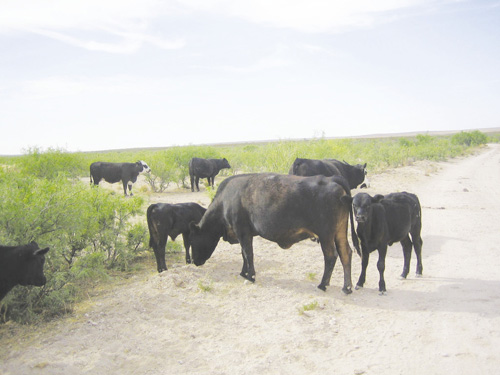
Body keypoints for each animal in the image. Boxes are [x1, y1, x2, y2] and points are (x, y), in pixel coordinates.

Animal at [188, 173, 356, 294]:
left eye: (194, 240)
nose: (195, 261)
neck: (225, 199)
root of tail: (331, 178)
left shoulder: (242, 231)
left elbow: (248, 254)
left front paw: (251, 276)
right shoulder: (243, 234)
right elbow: (243, 254)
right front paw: (243, 272)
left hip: (326, 235)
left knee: (331, 256)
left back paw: (323, 284)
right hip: (340, 231)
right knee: (346, 253)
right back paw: (347, 287)